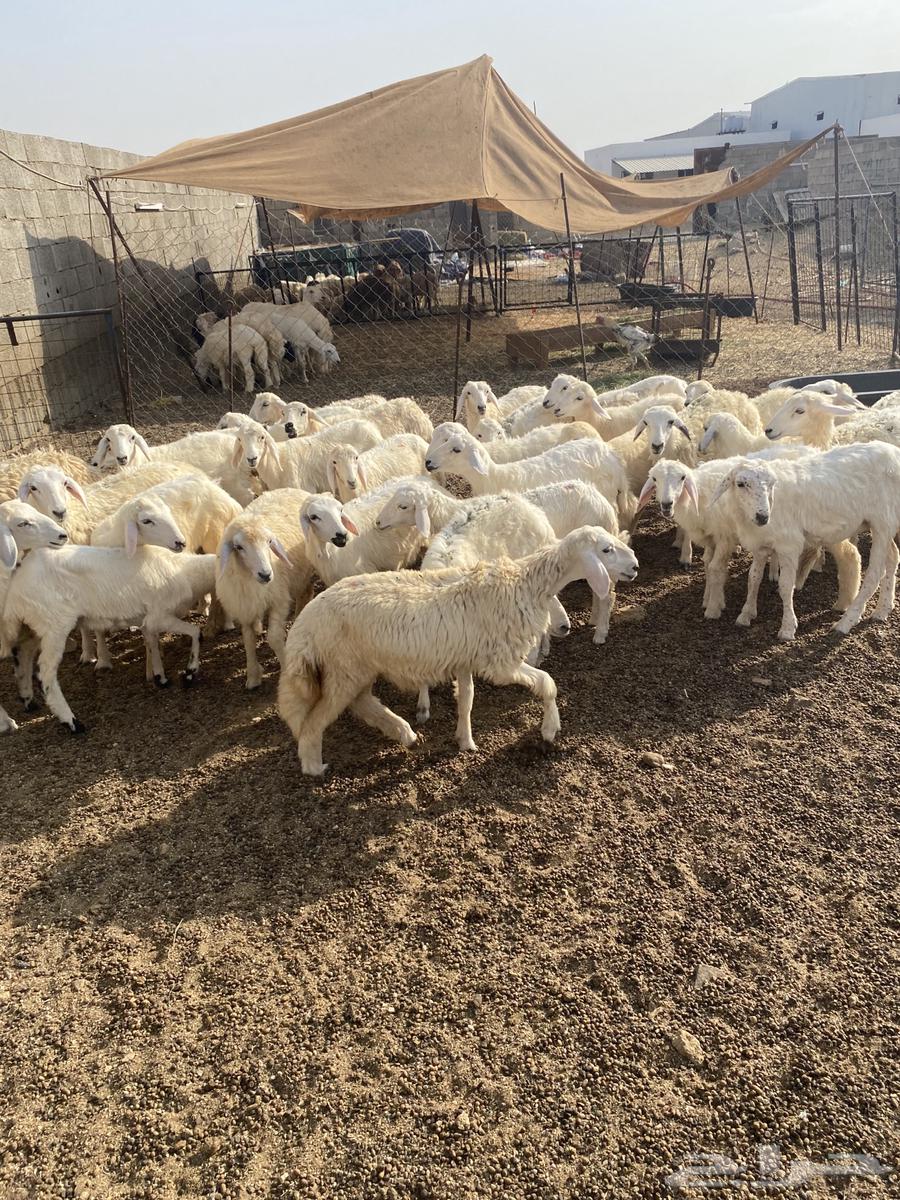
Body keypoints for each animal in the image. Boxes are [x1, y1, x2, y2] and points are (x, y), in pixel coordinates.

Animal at [2, 546, 218, 732]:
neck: (186, 571)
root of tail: (16, 585)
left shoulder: (149, 621)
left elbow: (152, 644)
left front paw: (160, 678)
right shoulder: (160, 615)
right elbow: (196, 632)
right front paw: (189, 673)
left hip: (33, 625)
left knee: (22, 654)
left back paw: (28, 700)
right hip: (54, 623)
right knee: (45, 673)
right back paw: (72, 722)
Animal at [216, 489, 316, 689]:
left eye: (269, 542)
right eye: (239, 547)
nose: (266, 575)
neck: (249, 580)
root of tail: (291, 489)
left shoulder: (279, 600)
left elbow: (274, 637)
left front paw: (286, 669)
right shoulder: (243, 607)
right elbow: (247, 639)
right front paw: (253, 675)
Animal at [277, 525, 638, 774]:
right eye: (606, 549)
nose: (634, 566)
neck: (523, 583)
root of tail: (305, 623)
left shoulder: (466, 657)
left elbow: (466, 700)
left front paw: (465, 741)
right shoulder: (501, 662)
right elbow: (547, 683)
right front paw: (550, 730)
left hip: (357, 666)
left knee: (362, 703)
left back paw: (404, 733)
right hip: (343, 666)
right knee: (316, 719)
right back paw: (314, 766)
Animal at [706, 443, 900, 639]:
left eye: (771, 484)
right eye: (740, 484)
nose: (763, 516)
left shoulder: (788, 546)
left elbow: (785, 586)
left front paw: (787, 628)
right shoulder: (760, 546)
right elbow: (753, 578)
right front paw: (746, 614)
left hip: (882, 522)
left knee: (874, 575)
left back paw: (846, 622)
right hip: (886, 524)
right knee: (893, 557)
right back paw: (882, 610)